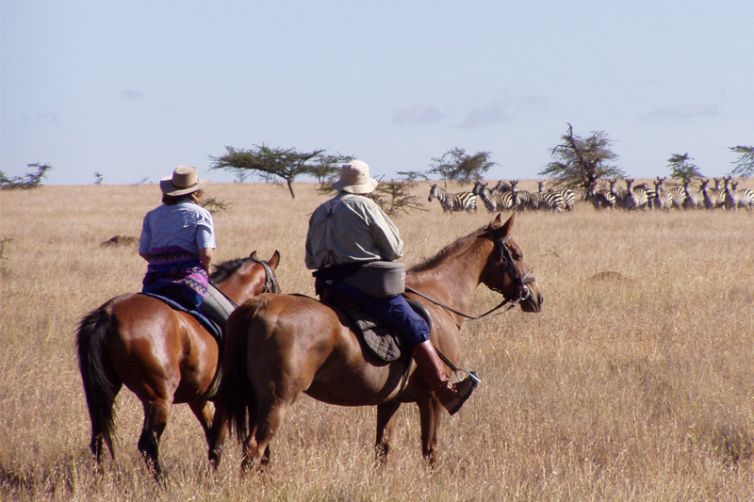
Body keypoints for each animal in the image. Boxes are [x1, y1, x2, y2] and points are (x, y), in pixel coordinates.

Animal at [76, 250, 280, 478]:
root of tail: (108, 313)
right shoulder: (227, 399)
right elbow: (222, 441)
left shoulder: (199, 399)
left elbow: (212, 437)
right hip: (159, 398)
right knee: (148, 444)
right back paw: (162, 481)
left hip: (107, 391)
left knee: (98, 437)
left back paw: (100, 478)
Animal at [210, 213, 543, 471]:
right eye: (517, 254)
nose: (535, 297)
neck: (438, 297)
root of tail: (259, 305)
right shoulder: (432, 400)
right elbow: (430, 449)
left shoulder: (390, 400)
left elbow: (383, 447)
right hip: (276, 400)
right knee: (254, 446)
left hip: (250, 399)